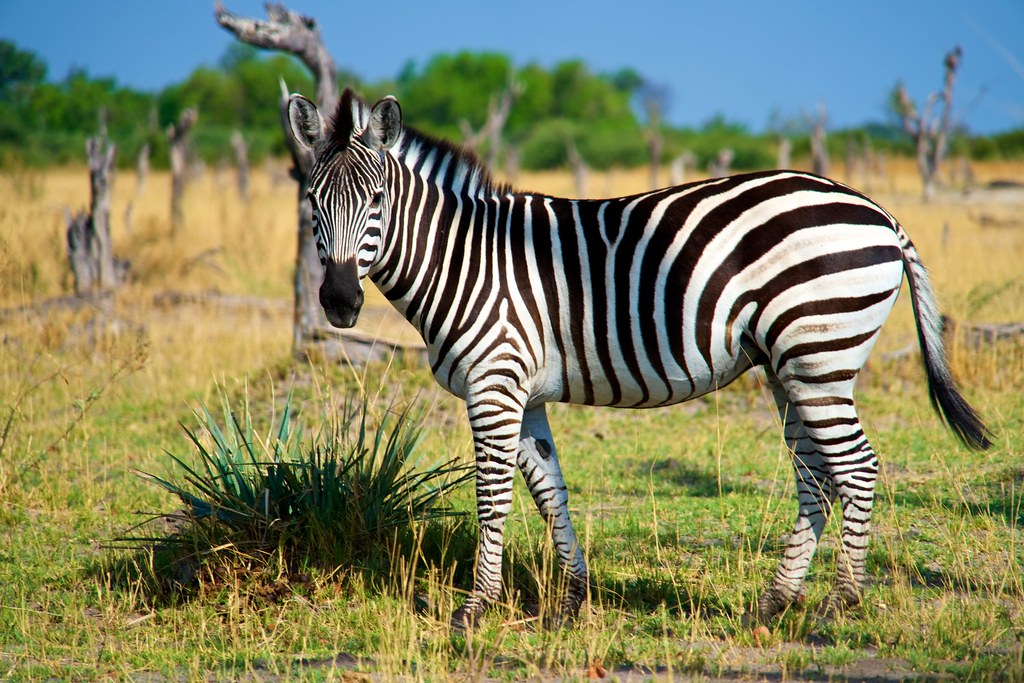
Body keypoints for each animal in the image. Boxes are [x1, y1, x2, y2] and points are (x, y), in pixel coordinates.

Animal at [285, 88, 991, 628]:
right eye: (313, 203)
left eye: (377, 203)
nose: (340, 302)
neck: (464, 260)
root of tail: (878, 211)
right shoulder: (525, 393)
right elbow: (550, 492)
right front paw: (571, 603)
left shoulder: (495, 385)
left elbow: (492, 499)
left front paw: (474, 610)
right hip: (789, 367)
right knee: (817, 473)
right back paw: (773, 602)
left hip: (819, 356)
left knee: (858, 468)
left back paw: (840, 605)